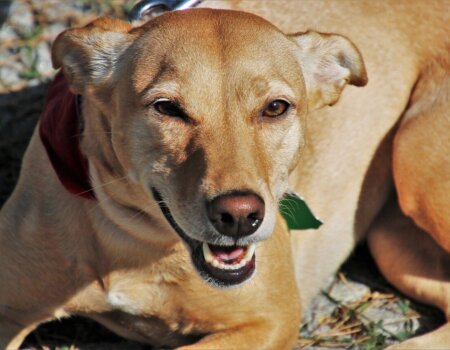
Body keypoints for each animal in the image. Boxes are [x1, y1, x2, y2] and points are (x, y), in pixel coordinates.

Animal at [0, 0, 448, 350]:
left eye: (275, 107)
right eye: (167, 108)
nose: (239, 216)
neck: (136, 239)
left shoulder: (270, 320)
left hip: (417, 176)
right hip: (394, 243)